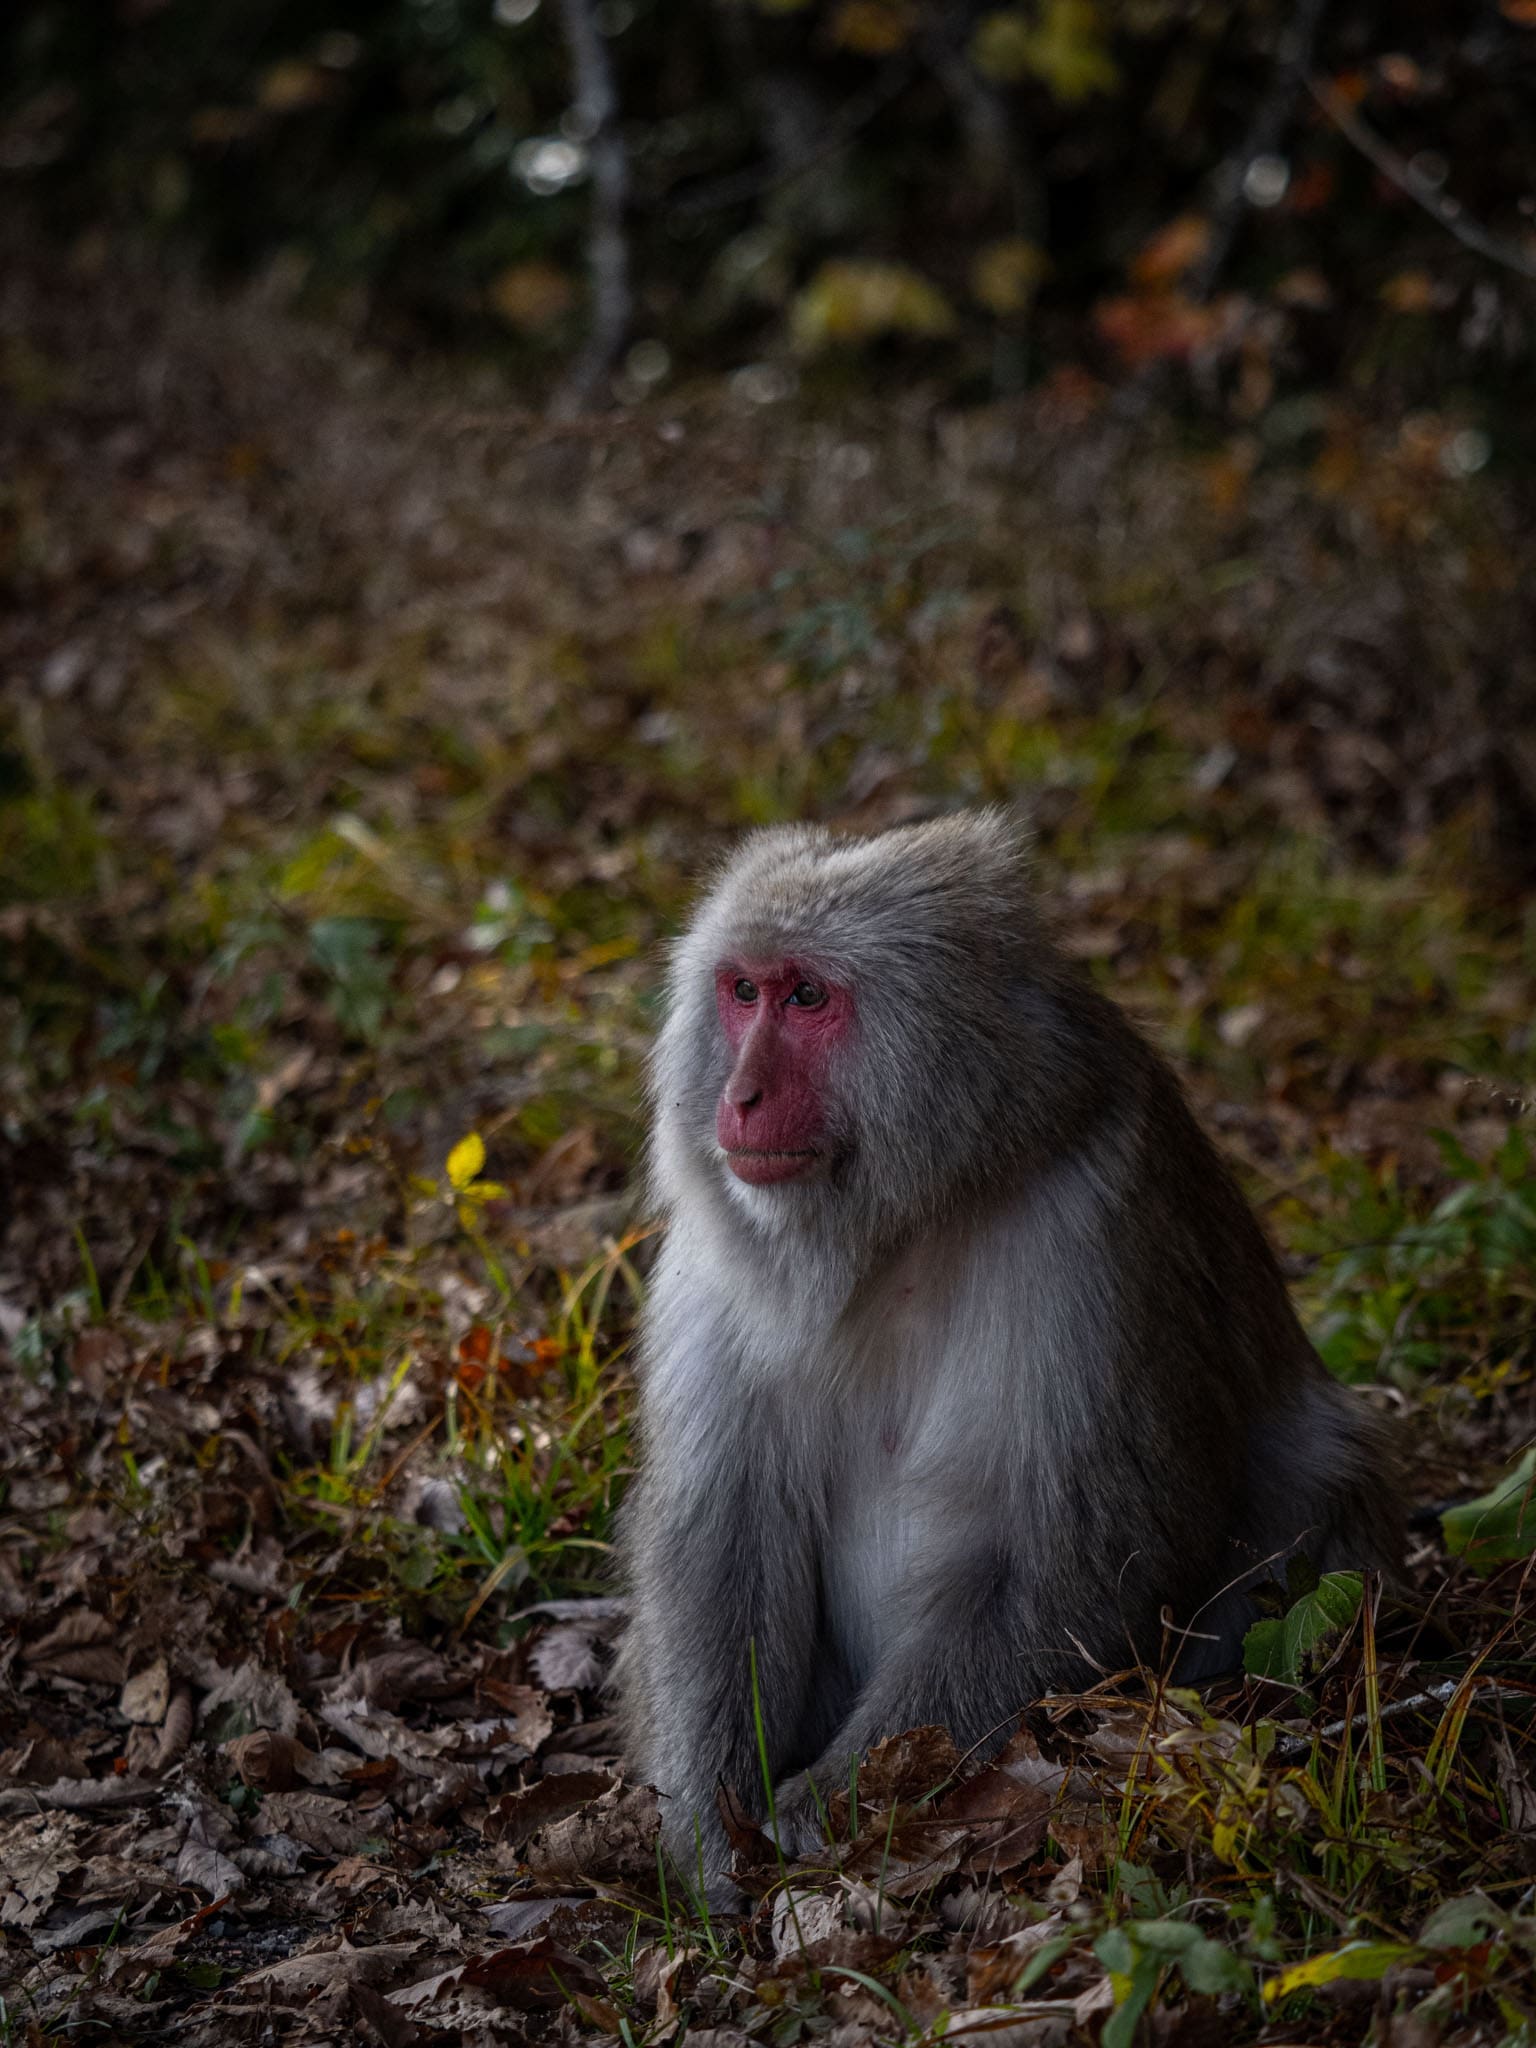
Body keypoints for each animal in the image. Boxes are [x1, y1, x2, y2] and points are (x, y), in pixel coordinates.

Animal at [617, 811, 1399, 1895]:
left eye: (807, 996)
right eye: (742, 991)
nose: (739, 1096)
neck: (907, 1217)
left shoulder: (1088, 1224)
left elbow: (1077, 1546)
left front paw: (832, 1801)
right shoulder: (715, 1239)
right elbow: (718, 1531)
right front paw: (707, 1830)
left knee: (1317, 1475)